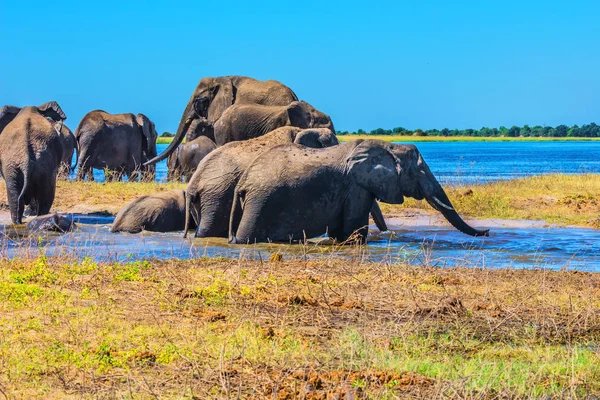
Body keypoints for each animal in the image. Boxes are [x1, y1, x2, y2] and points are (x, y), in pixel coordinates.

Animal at [227, 139, 490, 245]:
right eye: (419, 171)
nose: (487, 232)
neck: (388, 146)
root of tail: (244, 183)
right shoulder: (356, 187)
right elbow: (355, 229)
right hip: (262, 202)